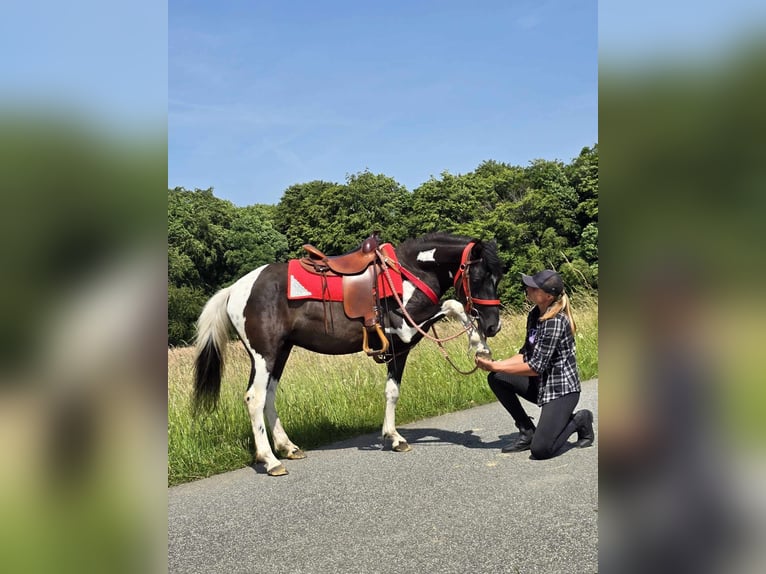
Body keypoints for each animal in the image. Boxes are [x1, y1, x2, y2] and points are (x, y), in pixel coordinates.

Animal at [192, 232, 503, 476]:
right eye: (477, 276)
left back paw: (287, 447)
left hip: (280, 353)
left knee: (268, 396)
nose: (493, 325)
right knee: (254, 398)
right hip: (263, 354)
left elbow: (392, 391)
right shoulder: (404, 331)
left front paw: (393, 437)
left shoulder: (398, 348)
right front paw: (479, 343)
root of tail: (235, 289)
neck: (409, 272)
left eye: (497, 277)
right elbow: (453, 305)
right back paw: (270, 461)